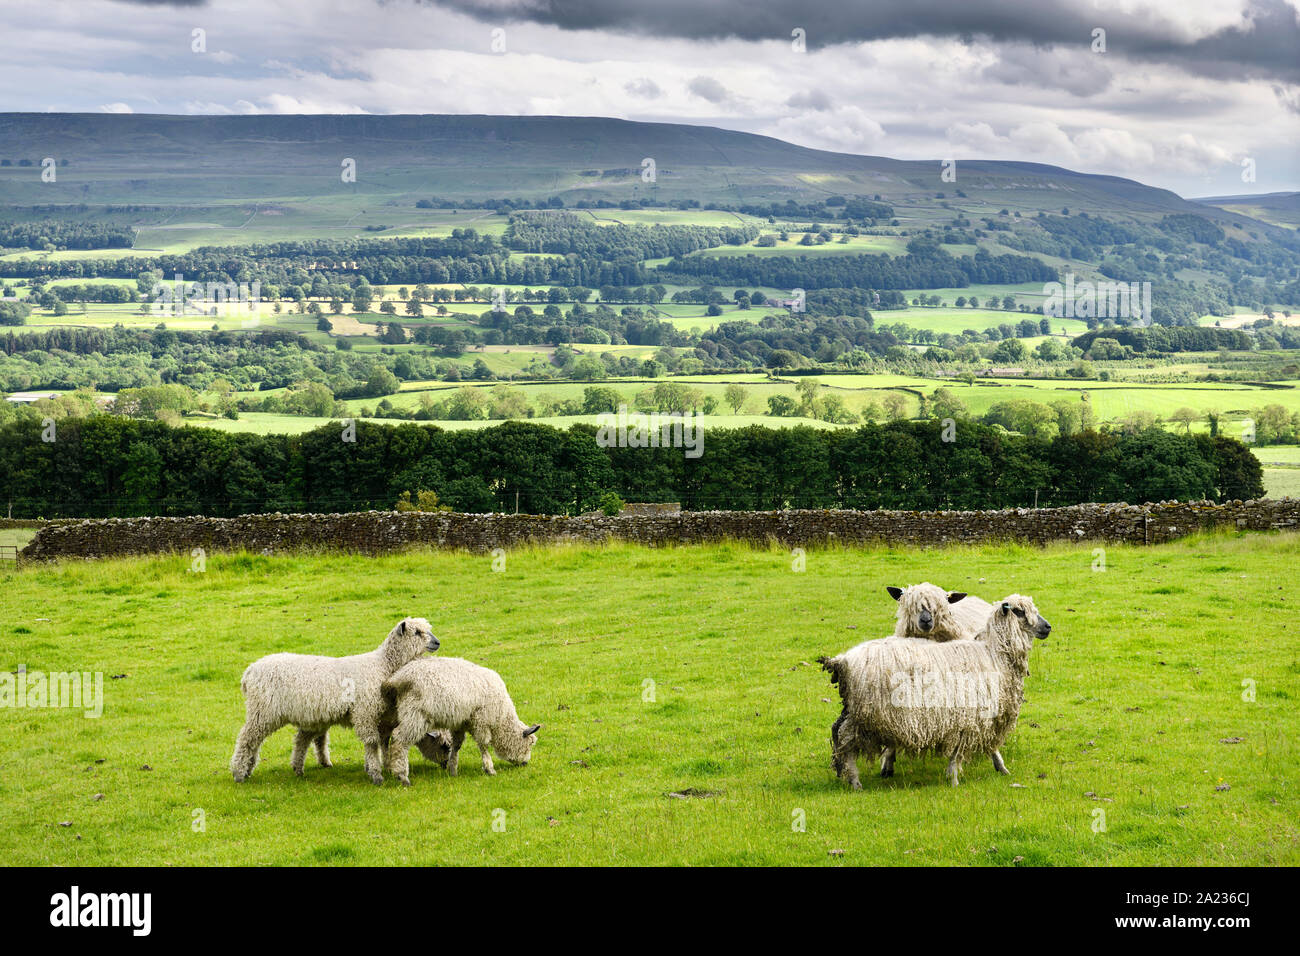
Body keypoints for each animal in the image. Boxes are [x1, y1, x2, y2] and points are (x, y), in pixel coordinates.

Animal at [231, 621, 439, 785]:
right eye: (417, 632)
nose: (437, 642)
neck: (381, 665)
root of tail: (249, 671)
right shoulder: (365, 712)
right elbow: (372, 743)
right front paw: (376, 775)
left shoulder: (379, 717)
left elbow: (382, 742)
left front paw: (378, 768)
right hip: (263, 710)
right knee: (247, 738)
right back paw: (239, 773)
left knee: (265, 741)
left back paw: (260, 769)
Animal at [379, 658, 538, 785]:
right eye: (529, 744)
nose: (525, 763)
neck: (501, 718)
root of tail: (397, 679)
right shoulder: (481, 721)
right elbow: (483, 745)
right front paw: (489, 768)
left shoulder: (460, 724)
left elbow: (457, 745)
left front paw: (453, 769)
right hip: (416, 715)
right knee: (399, 741)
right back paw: (402, 776)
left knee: (389, 738)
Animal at [816, 595, 1050, 790]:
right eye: (1019, 611)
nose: (1048, 627)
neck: (995, 654)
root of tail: (843, 660)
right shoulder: (967, 717)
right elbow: (958, 752)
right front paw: (954, 779)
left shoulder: (976, 716)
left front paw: (1001, 767)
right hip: (865, 711)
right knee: (844, 738)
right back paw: (855, 780)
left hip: (854, 708)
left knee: (836, 729)